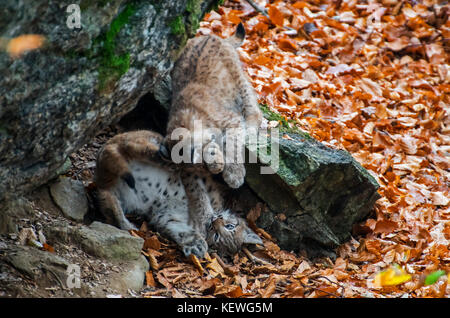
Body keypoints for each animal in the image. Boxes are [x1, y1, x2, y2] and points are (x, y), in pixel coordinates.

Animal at [96, 130, 264, 258]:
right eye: (230, 226)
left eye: (216, 236)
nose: (215, 222)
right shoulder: (203, 182)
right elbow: (200, 197)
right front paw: (204, 217)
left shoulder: (165, 217)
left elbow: (182, 231)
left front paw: (196, 245)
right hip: (147, 142)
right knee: (140, 147)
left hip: (115, 192)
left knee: (106, 197)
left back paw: (126, 225)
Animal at [166, 23, 264, 190]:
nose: (217, 168)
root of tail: (212, 36)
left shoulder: (233, 120)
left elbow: (233, 145)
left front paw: (234, 173)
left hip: (238, 79)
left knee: (253, 106)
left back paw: (251, 128)